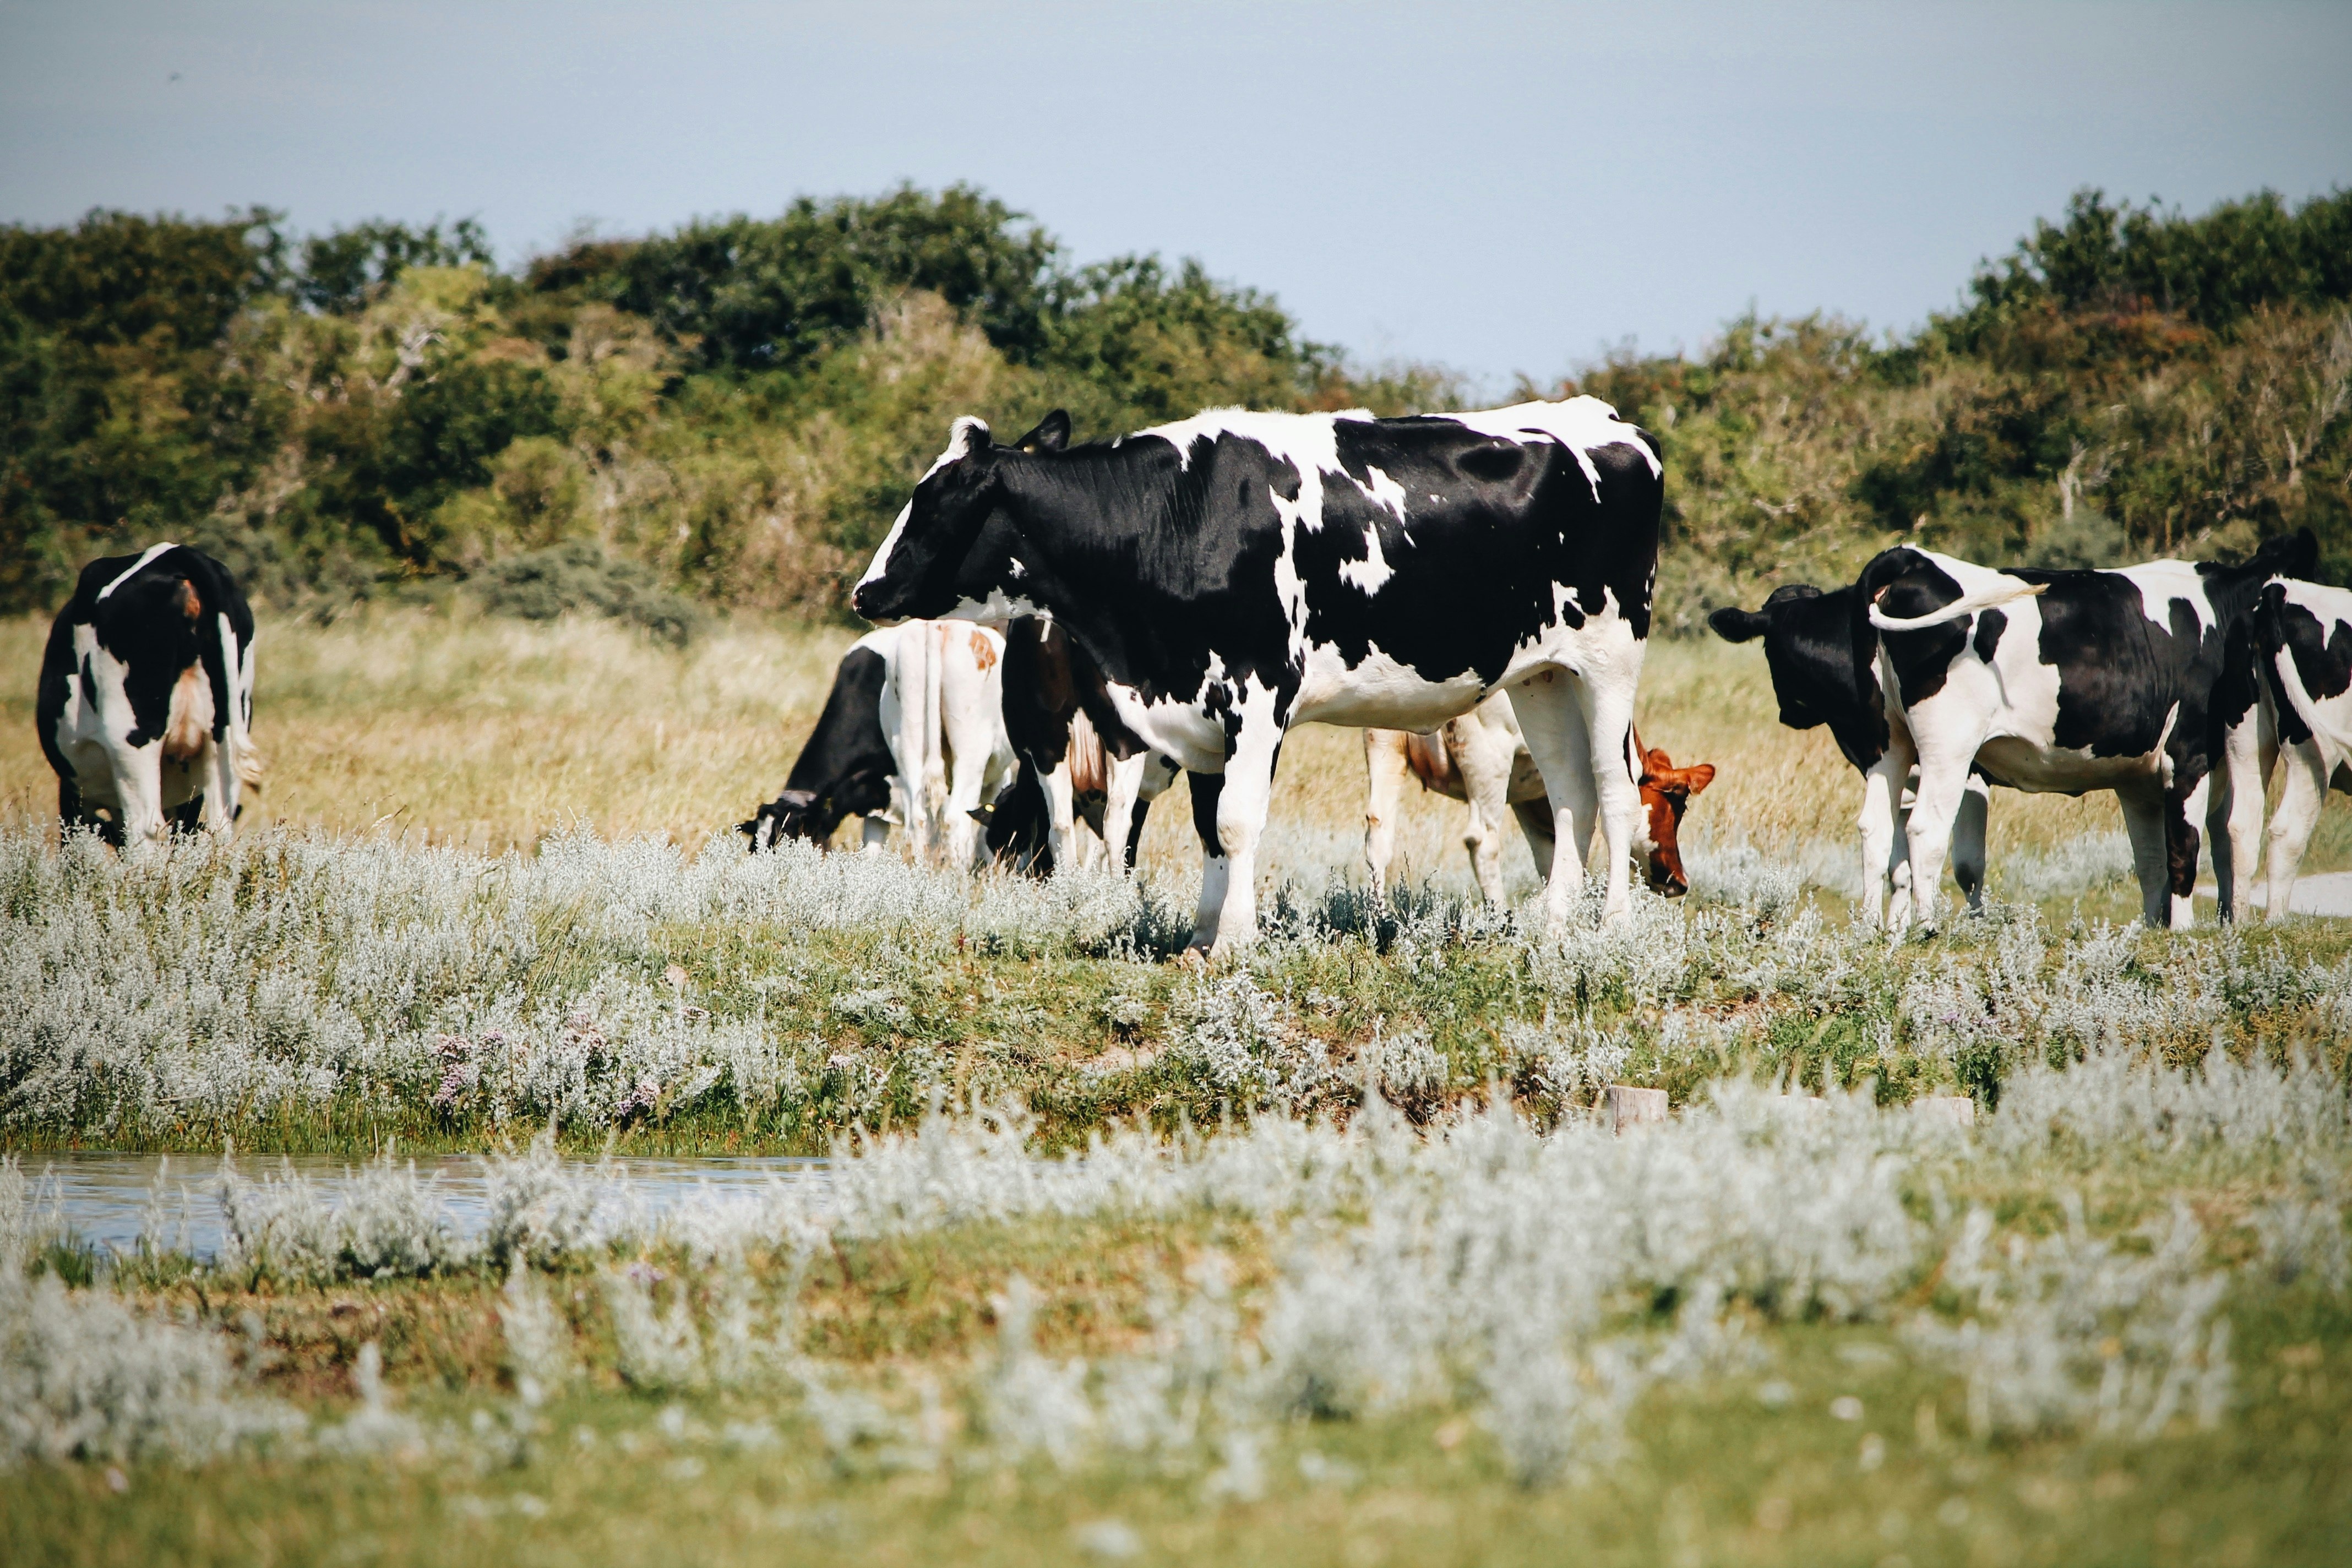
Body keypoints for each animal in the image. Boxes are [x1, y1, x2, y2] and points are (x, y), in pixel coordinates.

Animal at [37, 545, 262, 851]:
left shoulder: (73, 794)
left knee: (145, 831)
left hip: (130, 743)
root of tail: (176, 554)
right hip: (222, 741)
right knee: (219, 826)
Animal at [856, 399, 1665, 950]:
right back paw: (1553, 925)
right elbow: (1210, 827)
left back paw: (1614, 927)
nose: (865, 592)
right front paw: (1201, 936)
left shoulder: (1258, 690)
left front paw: (1236, 941)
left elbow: (1238, 822)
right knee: (1569, 791)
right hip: (1544, 674)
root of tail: (1608, 422)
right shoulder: (1199, 709)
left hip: (1612, 658)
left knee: (1615, 790)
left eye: (933, 503)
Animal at [1364, 700, 1712, 907]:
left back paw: (1380, 919)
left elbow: (1554, 857)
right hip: (1488, 759)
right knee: (1482, 841)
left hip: (1385, 747)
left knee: (1378, 834)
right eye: (1679, 807)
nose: (1681, 882)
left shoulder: (1531, 801)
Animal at [1702, 587, 1994, 930]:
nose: (1787, 714)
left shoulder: (1965, 770)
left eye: (1769, 653)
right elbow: (1900, 866)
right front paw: (1895, 930)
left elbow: (1965, 864)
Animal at [1863, 533, 2305, 940]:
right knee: (1925, 829)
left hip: (1890, 744)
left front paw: (2156, 929)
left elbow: (2154, 858)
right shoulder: (2188, 754)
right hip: (1949, 746)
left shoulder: (2140, 779)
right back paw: (1927, 930)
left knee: (1875, 827)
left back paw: (1868, 931)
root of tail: (1910, 557)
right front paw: (2182, 931)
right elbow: (2184, 848)